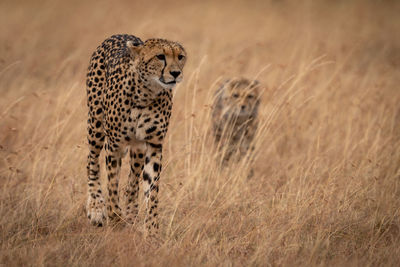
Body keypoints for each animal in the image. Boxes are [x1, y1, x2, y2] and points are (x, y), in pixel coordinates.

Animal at [86, 34, 186, 234]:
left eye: (180, 57)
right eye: (160, 56)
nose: (175, 73)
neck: (146, 92)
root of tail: (118, 35)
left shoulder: (154, 145)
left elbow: (151, 190)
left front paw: (152, 230)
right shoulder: (114, 145)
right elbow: (112, 184)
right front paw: (115, 218)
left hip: (138, 148)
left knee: (132, 182)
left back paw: (131, 214)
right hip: (96, 125)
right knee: (91, 161)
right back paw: (96, 208)